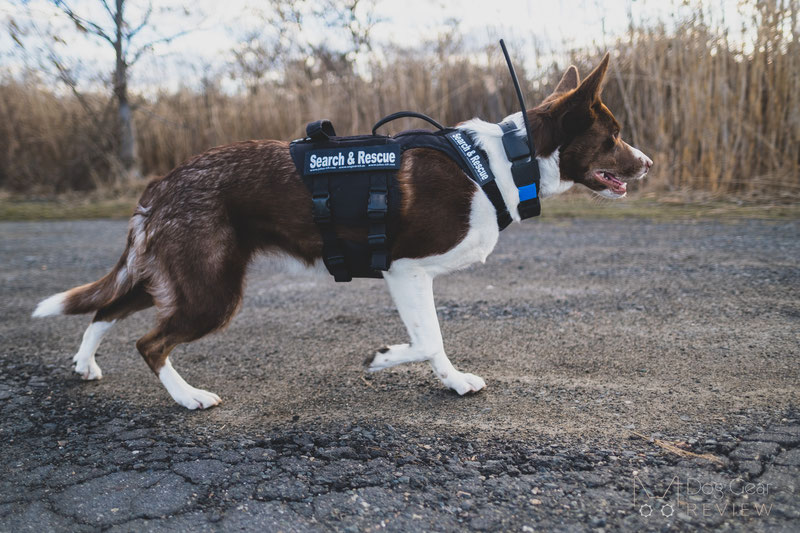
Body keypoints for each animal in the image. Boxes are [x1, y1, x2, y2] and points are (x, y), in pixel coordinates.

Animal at [34, 54, 652, 410]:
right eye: (613, 137)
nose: (647, 163)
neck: (503, 164)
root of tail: (162, 183)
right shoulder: (406, 270)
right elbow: (428, 339)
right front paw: (384, 360)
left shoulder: (411, 276)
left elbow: (434, 342)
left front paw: (451, 383)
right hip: (211, 289)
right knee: (149, 341)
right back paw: (189, 397)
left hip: (178, 277)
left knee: (107, 309)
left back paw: (86, 366)